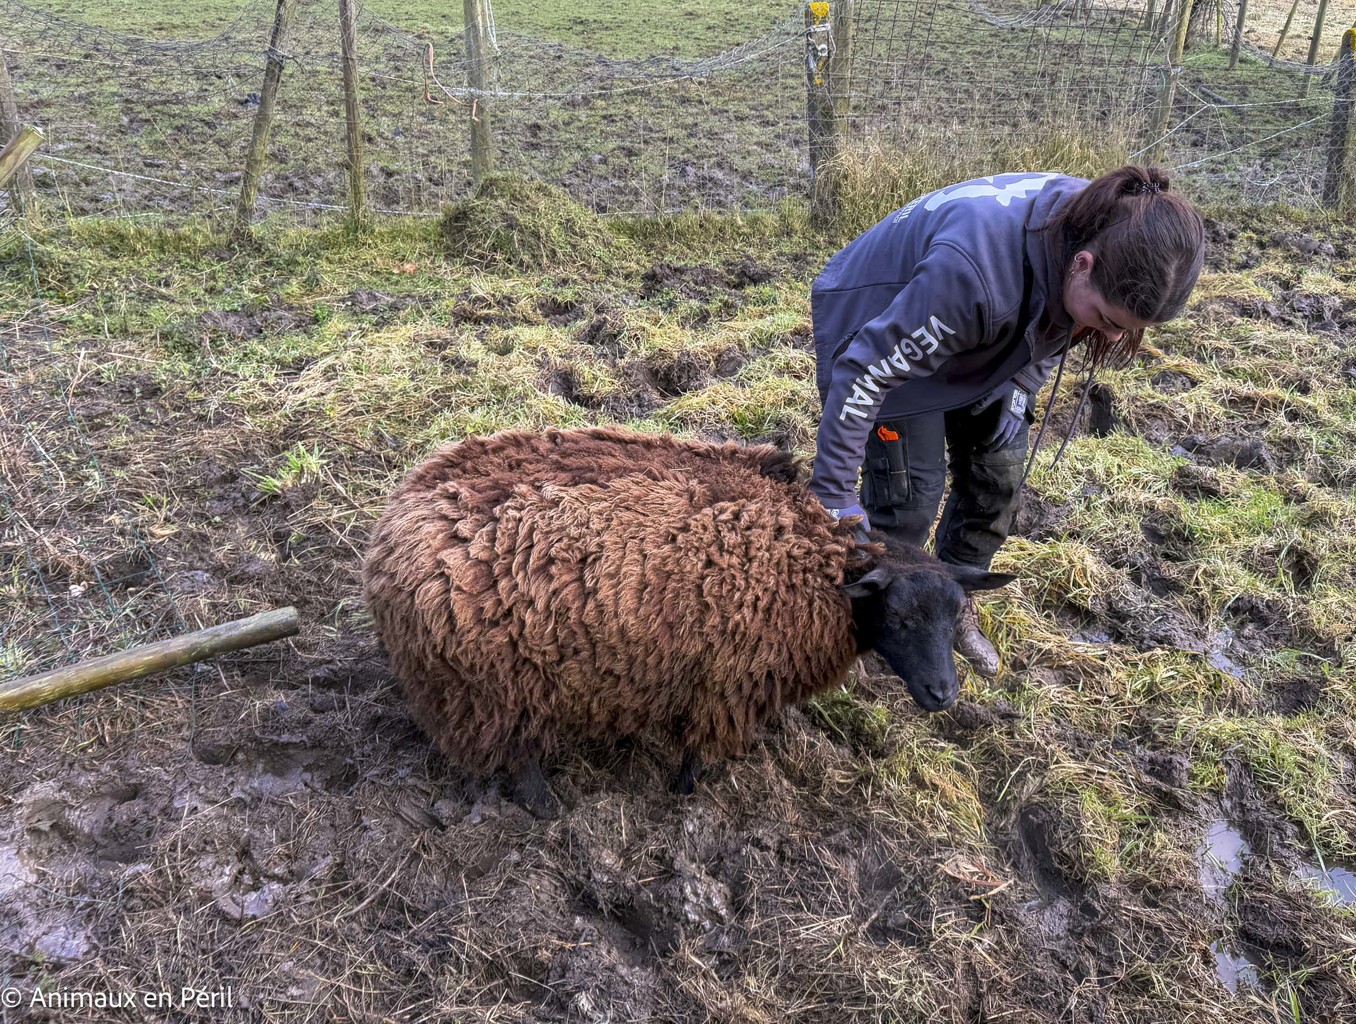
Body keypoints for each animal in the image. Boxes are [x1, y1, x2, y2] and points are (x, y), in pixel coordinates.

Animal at [363, 426, 1013, 813]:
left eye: (956, 615)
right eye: (898, 617)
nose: (944, 694)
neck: (817, 564)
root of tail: (390, 534)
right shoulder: (725, 682)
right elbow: (697, 749)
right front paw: (684, 793)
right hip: (493, 691)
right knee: (517, 754)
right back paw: (545, 805)